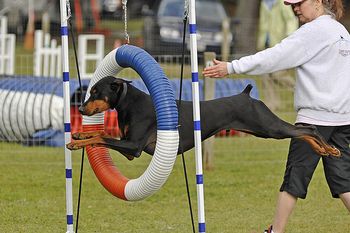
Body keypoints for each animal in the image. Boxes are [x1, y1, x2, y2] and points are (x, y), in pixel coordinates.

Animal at [67, 76, 340, 160]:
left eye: (96, 92)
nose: (80, 110)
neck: (129, 102)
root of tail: (246, 95)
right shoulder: (128, 144)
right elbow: (99, 133)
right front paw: (78, 134)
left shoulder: (133, 147)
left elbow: (102, 137)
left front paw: (75, 142)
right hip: (264, 130)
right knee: (302, 132)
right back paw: (323, 150)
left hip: (269, 126)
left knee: (308, 129)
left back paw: (329, 149)